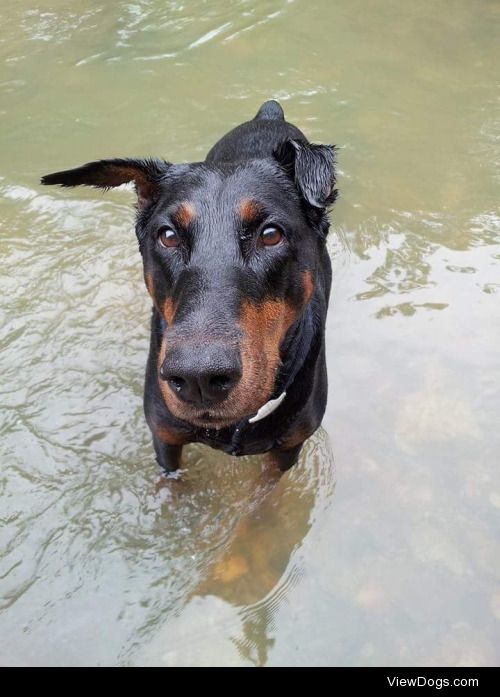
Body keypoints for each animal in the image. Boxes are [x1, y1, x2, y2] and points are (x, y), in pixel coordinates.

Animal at [43, 99, 338, 474]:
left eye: (271, 234)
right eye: (167, 236)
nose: (199, 378)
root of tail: (270, 113)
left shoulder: (288, 450)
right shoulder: (164, 437)